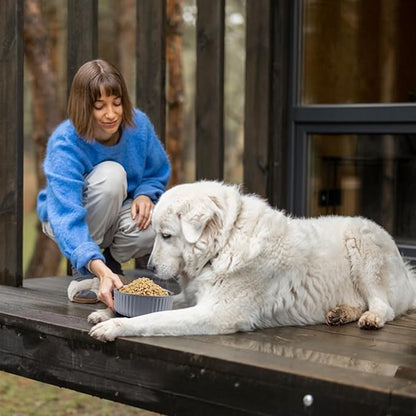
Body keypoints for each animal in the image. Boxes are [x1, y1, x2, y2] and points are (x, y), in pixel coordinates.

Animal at [88, 181, 416, 342]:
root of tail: (406, 270)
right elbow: (154, 309)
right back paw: (341, 313)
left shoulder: (216, 313)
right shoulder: (194, 298)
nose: (153, 268)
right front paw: (107, 312)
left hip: (362, 245)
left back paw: (371, 318)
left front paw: (114, 326)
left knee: (383, 306)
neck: (224, 243)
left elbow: (152, 319)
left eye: (166, 235)